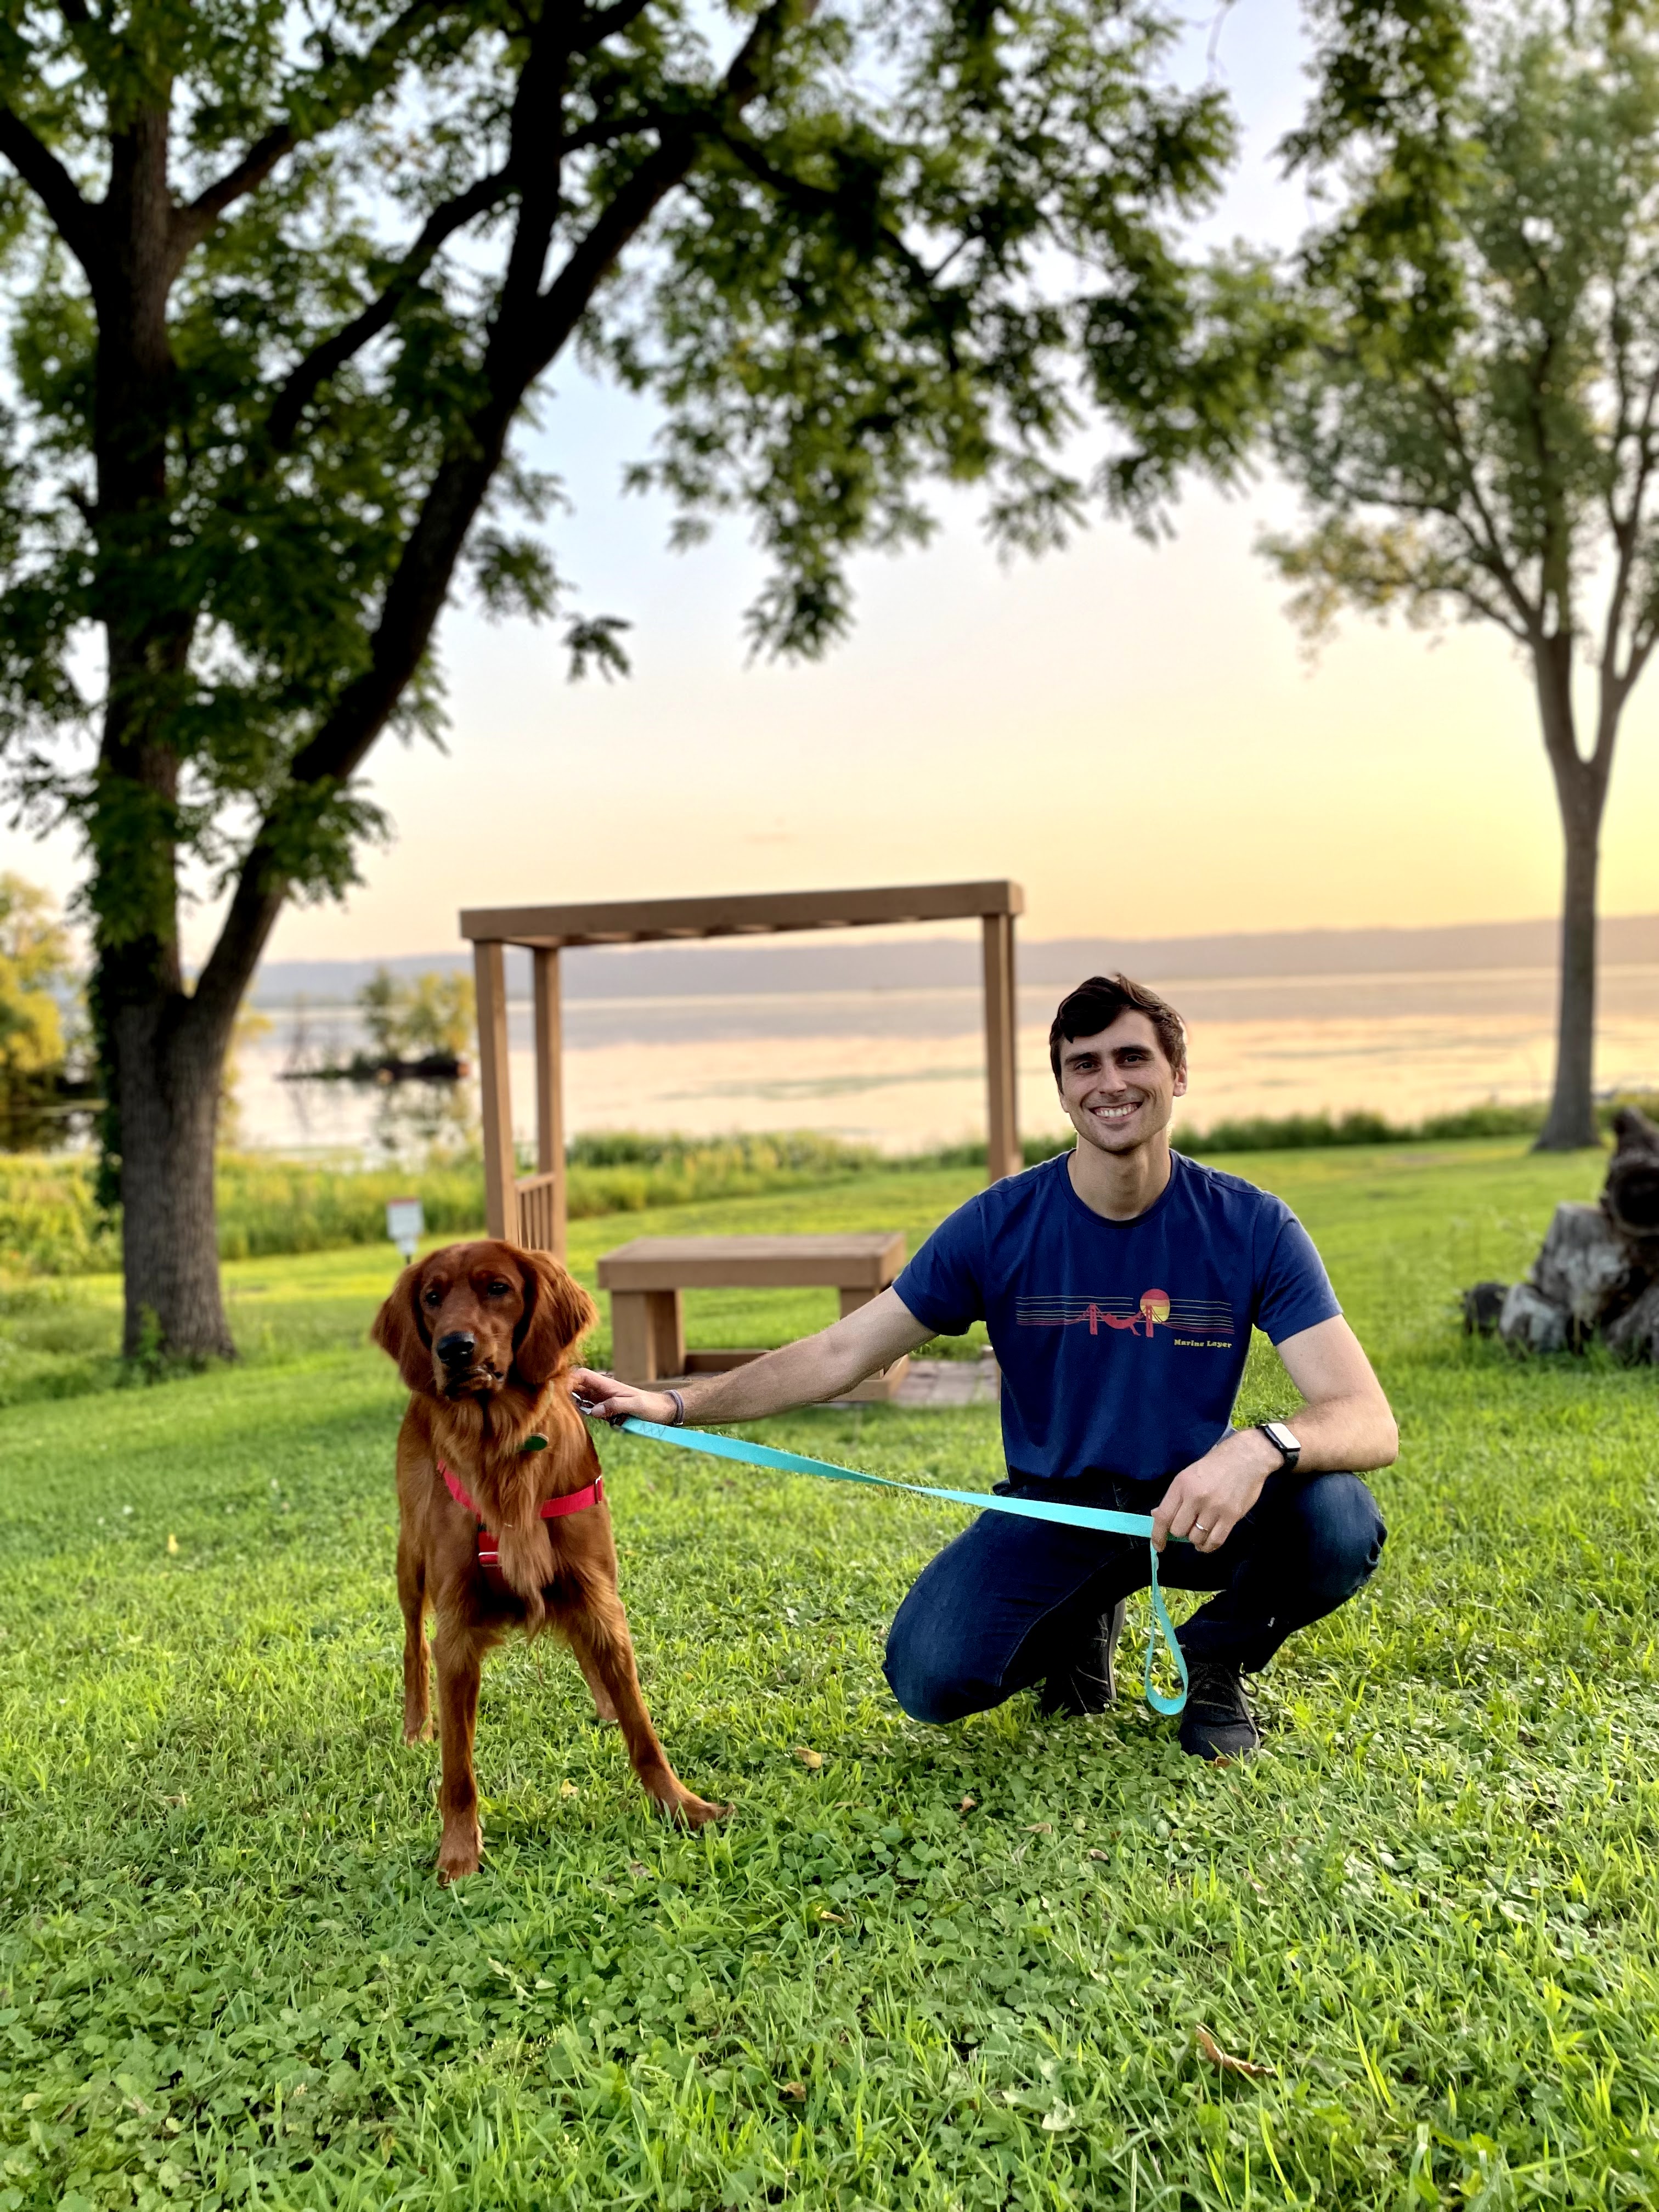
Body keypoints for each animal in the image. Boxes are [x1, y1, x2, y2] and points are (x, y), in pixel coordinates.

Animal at [371, 1237, 724, 1881]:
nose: (452, 1349)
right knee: (412, 1644)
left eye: (498, 1289)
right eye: (432, 1297)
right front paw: (457, 1856)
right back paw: (415, 1726)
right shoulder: (457, 1629)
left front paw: (682, 1806)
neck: (505, 1449)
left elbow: (642, 1729)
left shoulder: (599, 1594)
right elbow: (458, 1769)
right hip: (410, 1561)